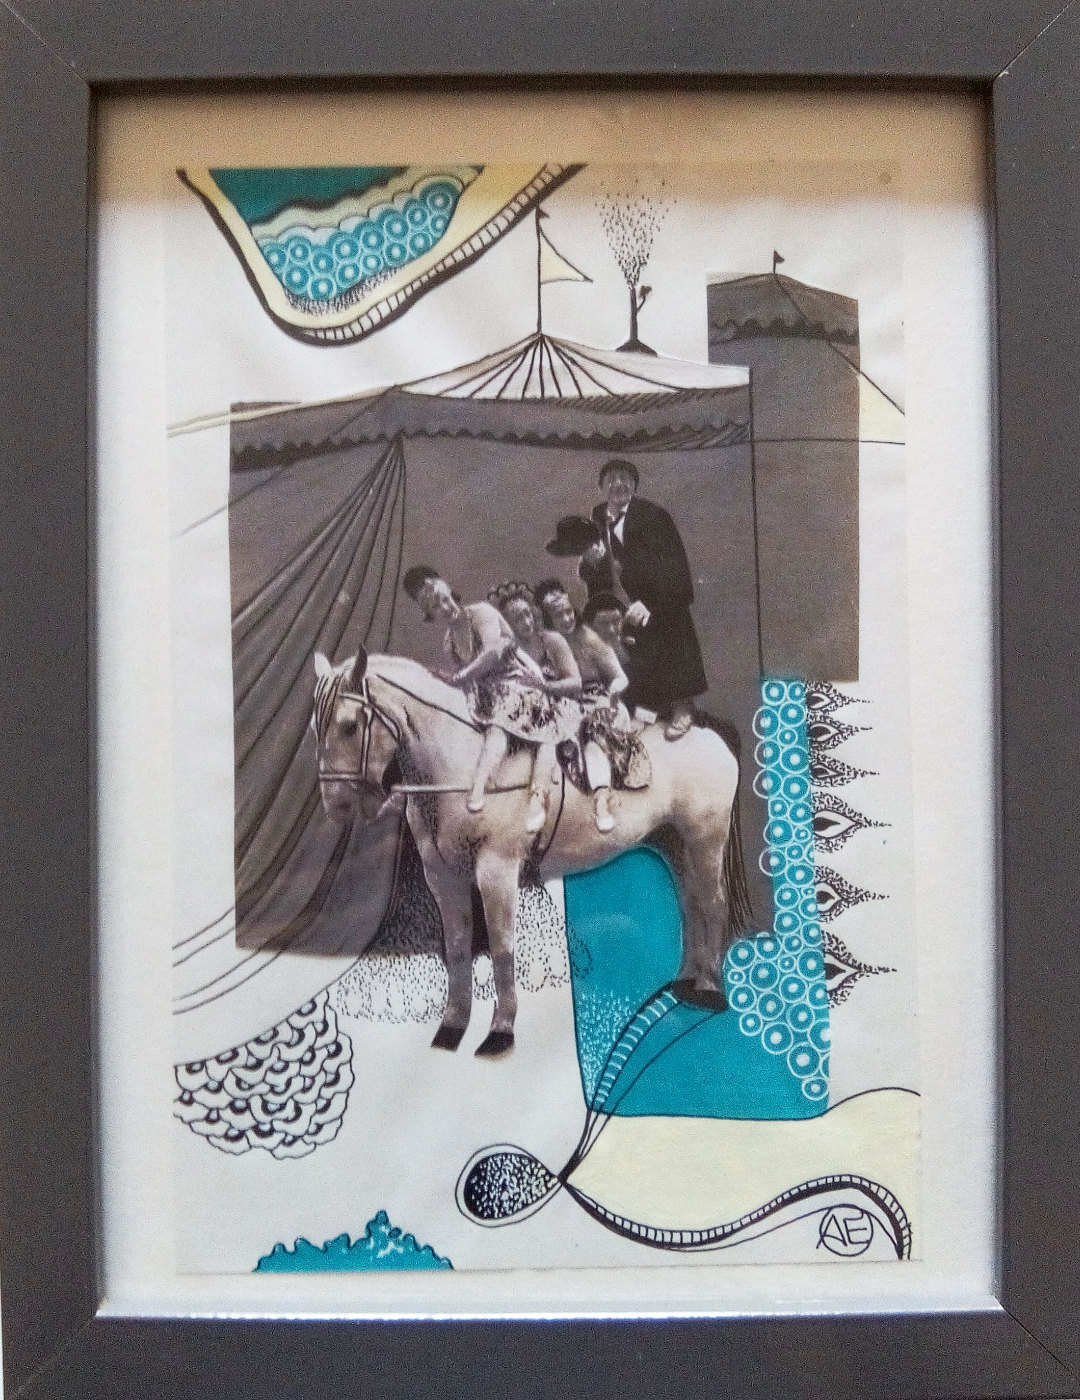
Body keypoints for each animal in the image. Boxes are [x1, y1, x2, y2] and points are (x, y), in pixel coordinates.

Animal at [313, 647, 748, 1057]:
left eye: (350, 726)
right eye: (317, 726)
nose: (338, 806)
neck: (470, 765)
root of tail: (711, 734)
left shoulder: (497, 871)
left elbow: (502, 949)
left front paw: (500, 1031)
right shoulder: (442, 877)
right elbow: (457, 947)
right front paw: (452, 1027)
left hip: (705, 838)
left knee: (712, 904)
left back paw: (708, 988)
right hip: (674, 843)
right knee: (691, 903)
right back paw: (685, 981)